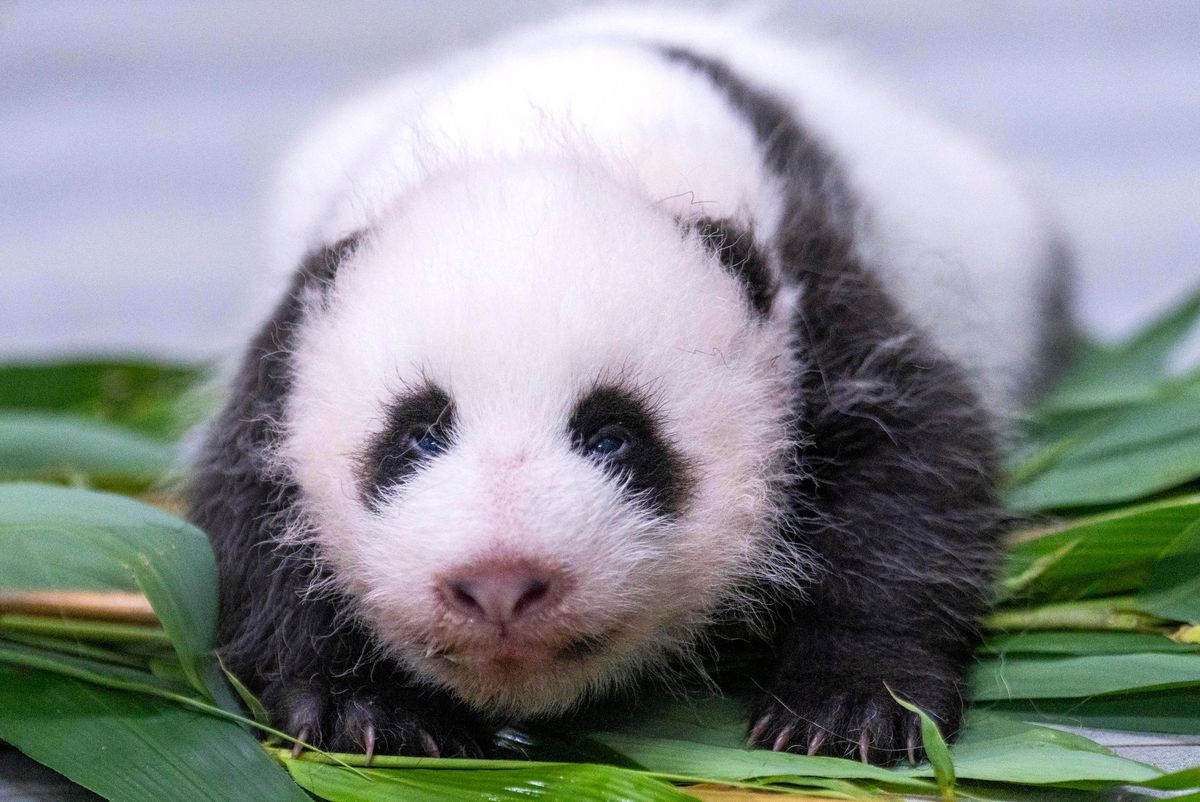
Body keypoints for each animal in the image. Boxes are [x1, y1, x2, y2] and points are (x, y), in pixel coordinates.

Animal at [188, 8, 1072, 766]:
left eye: (613, 435)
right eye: (418, 435)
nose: (500, 584)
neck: (551, 136)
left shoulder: (813, 300)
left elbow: (910, 467)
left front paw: (852, 707)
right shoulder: (290, 341)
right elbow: (248, 516)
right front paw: (361, 708)